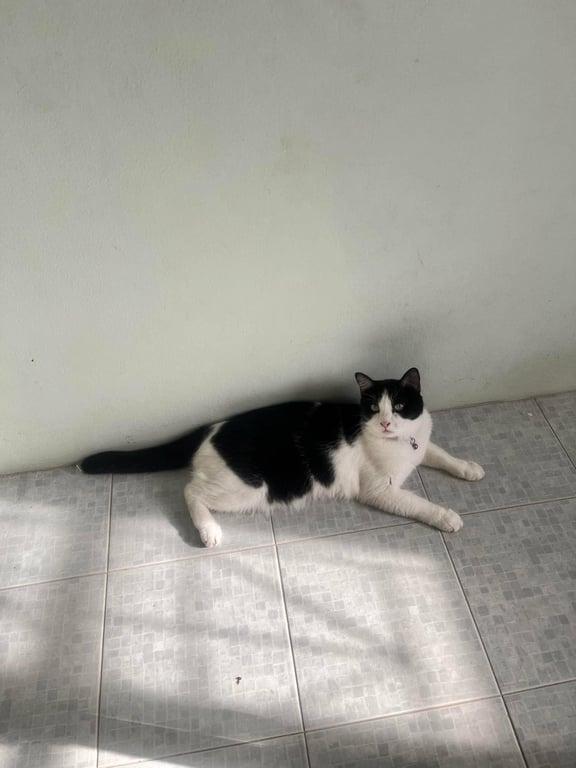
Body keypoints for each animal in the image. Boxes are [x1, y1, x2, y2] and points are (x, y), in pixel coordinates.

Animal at [80, 368, 485, 547]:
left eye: (399, 406)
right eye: (372, 408)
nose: (385, 422)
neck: (401, 443)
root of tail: (210, 428)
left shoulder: (421, 443)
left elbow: (441, 454)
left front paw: (469, 468)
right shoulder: (380, 490)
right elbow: (418, 503)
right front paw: (447, 516)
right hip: (250, 487)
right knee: (190, 491)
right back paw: (209, 530)